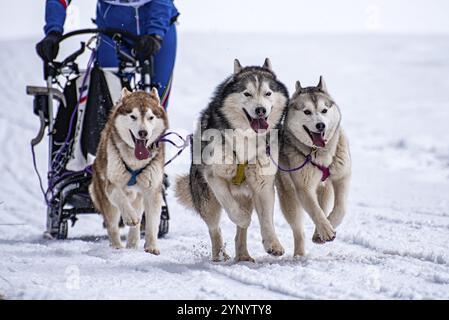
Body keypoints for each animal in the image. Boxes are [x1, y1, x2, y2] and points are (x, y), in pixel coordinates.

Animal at [88, 88, 167, 255]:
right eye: (133, 116)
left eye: (151, 117)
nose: (143, 133)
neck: (135, 162)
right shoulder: (111, 185)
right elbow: (120, 197)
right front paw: (130, 216)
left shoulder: (152, 191)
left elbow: (152, 223)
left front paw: (151, 246)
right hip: (107, 201)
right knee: (112, 226)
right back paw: (117, 246)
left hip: (138, 197)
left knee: (137, 220)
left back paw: (132, 242)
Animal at [174, 58, 288, 262]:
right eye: (247, 93)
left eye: (268, 93)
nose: (260, 110)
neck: (245, 138)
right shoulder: (214, 177)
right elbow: (232, 209)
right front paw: (242, 218)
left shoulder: (263, 184)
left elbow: (267, 219)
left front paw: (273, 244)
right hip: (207, 200)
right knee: (214, 228)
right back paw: (219, 254)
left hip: (247, 196)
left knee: (240, 233)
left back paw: (243, 255)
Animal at [274, 77, 352, 258]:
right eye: (307, 112)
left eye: (324, 110)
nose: (321, 125)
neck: (321, 154)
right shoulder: (303, 187)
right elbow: (315, 211)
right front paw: (327, 231)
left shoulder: (342, 177)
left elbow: (341, 208)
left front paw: (328, 226)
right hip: (289, 197)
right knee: (298, 228)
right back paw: (300, 254)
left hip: (324, 189)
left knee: (323, 207)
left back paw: (318, 232)